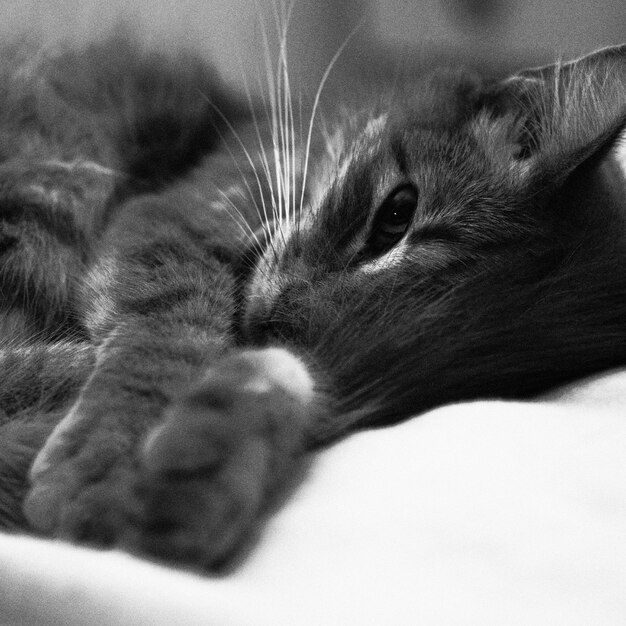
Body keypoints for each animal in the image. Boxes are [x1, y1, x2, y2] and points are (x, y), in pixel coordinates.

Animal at [0, 30, 620, 572]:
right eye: (397, 213)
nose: (268, 319)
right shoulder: (180, 215)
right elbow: (168, 331)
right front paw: (105, 460)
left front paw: (202, 466)